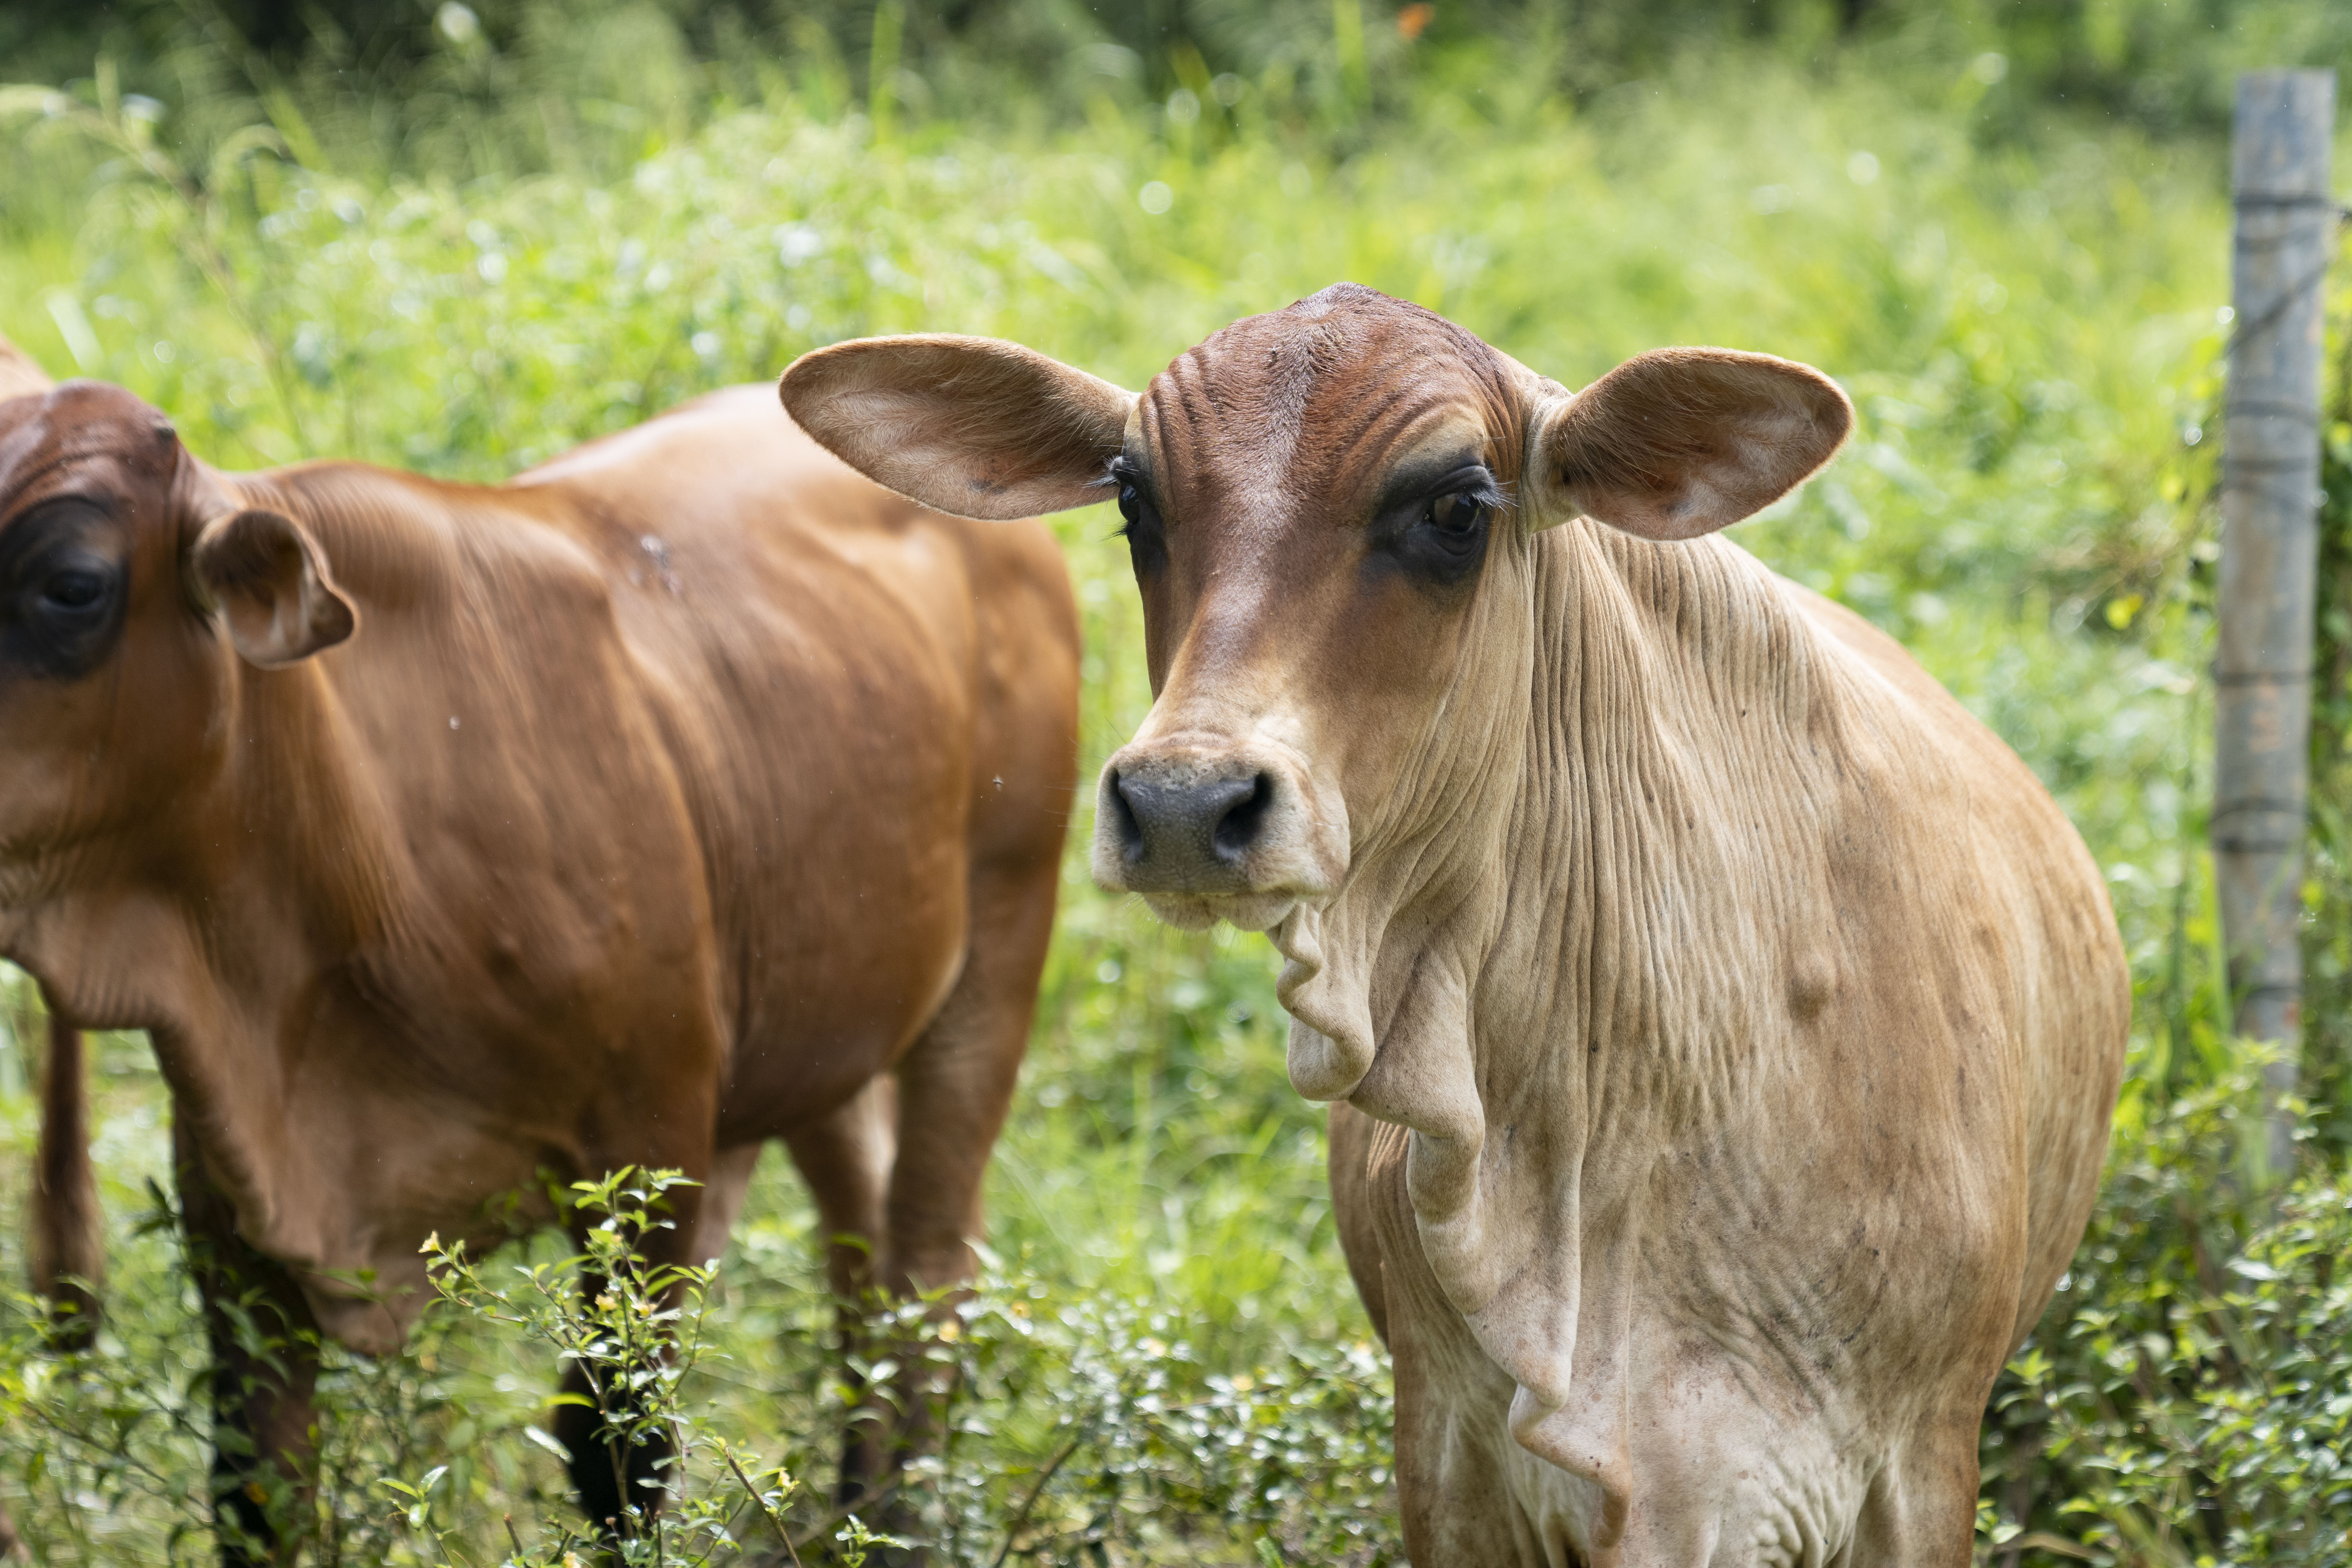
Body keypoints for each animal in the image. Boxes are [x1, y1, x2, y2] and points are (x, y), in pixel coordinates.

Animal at [0, 335, 1078, 1561]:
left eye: (72, 585)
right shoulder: (231, 1206)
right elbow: (258, 1484)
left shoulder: (651, 1151)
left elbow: (617, 1449)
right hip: (826, 1010)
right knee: (861, 1228)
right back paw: (857, 1499)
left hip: (998, 949)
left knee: (932, 1254)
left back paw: (905, 1510)